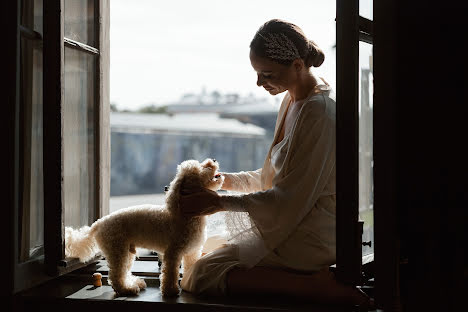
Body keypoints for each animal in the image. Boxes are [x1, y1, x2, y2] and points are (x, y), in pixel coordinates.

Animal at [65, 158, 224, 298]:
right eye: (201, 167)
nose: (214, 160)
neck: (185, 214)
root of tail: (98, 223)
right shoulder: (173, 253)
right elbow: (170, 273)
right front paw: (170, 292)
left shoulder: (192, 252)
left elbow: (190, 266)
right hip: (117, 250)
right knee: (116, 275)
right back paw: (126, 290)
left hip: (126, 251)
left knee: (123, 272)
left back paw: (134, 283)